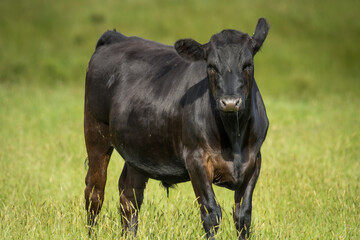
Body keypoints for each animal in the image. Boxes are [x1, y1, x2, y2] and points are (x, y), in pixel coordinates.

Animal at [84, 17, 268, 239]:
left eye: (247, 65)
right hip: (95, 131)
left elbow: (243, 215)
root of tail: (117, 37)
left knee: (129, 196)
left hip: (138, 148)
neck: (234, 137)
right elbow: (211, 212)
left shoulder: (254, 160)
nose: (230, 102)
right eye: (211, 66)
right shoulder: (196, 159)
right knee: (95, 191)